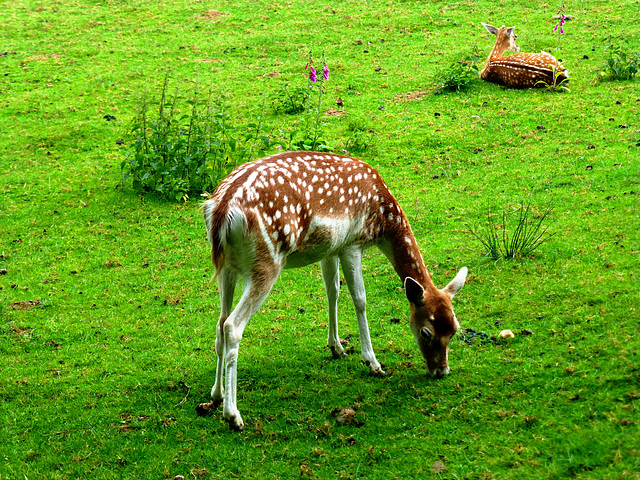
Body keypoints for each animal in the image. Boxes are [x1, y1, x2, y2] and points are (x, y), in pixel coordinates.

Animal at [200, 152, 470, 430]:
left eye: (455, 328)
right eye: (426, 332)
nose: (441, 371)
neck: (383, 220)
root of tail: (221, 211)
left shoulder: (330, 248)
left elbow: (332, 291)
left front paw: (336, 347)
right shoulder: (352, 243)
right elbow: (360, 299)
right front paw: (373, 363)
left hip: (227, 267)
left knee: (220, 323)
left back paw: (217, 395)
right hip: (266, 262)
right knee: (232, 325)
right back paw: (233, 415)